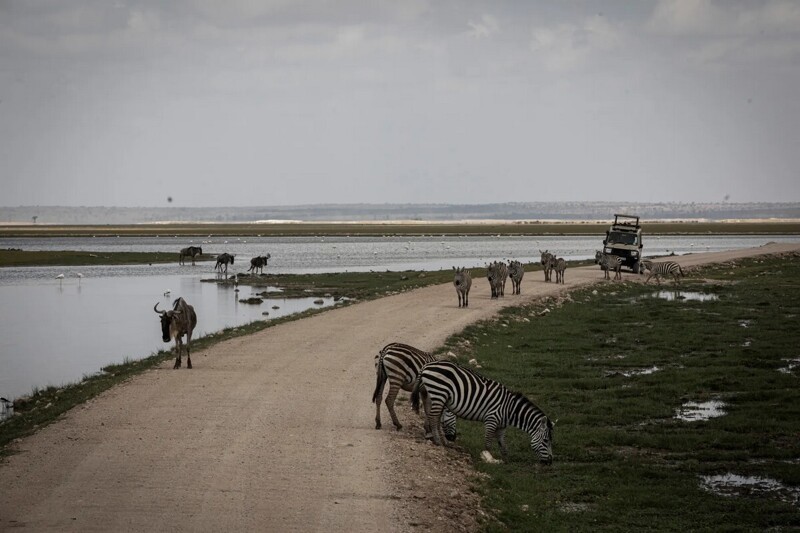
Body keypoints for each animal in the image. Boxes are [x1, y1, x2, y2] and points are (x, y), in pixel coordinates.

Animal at [410, 360, 552, 464]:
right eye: (546, 441)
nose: (549, 462)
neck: (510, 409)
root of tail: (426, 366)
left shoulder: (502, 426)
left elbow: (502, 444)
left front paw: (506, 460)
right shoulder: (492, 420)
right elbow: (488, 442)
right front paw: (487, 457)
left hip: (436, 395)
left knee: (435, 416)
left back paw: (443, 441)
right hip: (439, 393)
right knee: (434, 417)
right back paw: (438, 442)